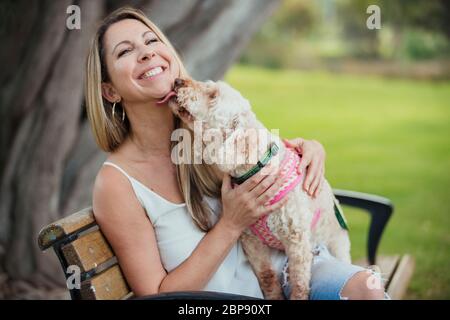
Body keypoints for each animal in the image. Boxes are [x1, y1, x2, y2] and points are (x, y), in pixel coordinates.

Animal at [165, 77, 352, 300]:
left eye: (213, 96)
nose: (177, 80)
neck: (257, 167)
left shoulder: (297, 243)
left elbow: (299, 285)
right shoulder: (251, 241)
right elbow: (267, 277)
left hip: (337, 242)